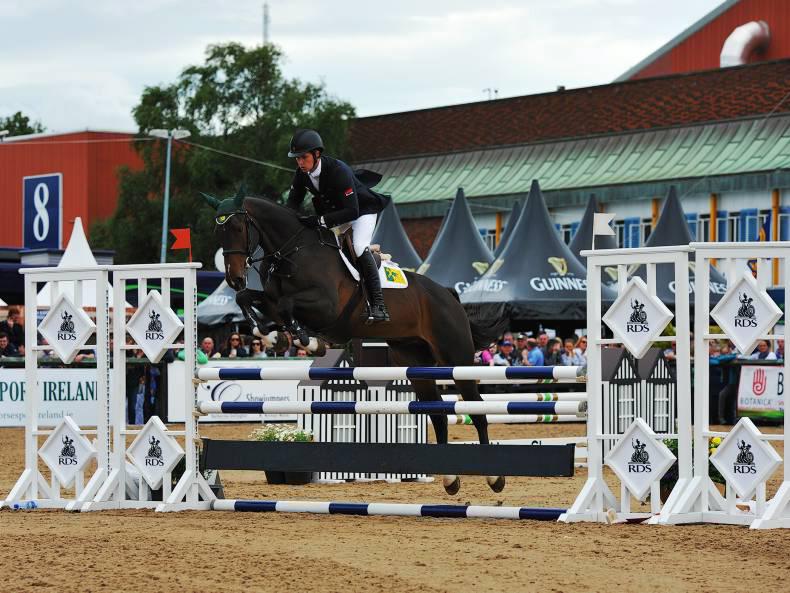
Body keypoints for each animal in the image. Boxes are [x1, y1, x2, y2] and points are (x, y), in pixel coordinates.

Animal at [203, 191, 506, 495]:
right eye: (218, 233)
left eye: (237, 228)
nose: (234, 278)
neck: (293, 251)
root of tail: (448, 295)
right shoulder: (272, 299)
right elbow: (251, 300)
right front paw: (275, 337)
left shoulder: (326, 306)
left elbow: (286, 305)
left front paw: (308, 341)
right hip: (415, 362)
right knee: (439, 413)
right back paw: (450, 479)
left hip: (456, 359)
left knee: (478, 409)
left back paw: (494, 477)